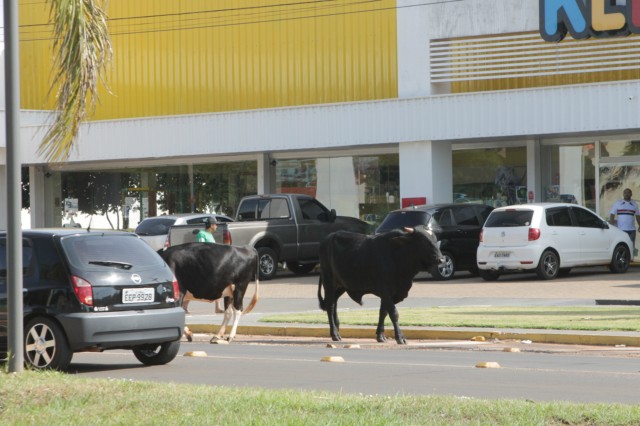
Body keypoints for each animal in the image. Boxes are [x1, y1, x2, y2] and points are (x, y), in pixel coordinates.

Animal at [316, 228, 444, 344]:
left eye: (435, 240)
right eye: (423, 241)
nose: (441, 259)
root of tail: (329, 237)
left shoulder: (388, 294)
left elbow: (383, 312)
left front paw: (380, 336)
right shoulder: (386, 291)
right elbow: (393, 313)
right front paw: (400, 337)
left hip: (341, 285)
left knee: (334, 302)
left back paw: (337, 329)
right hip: (328, 281)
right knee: (330, 305)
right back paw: (334, 334)